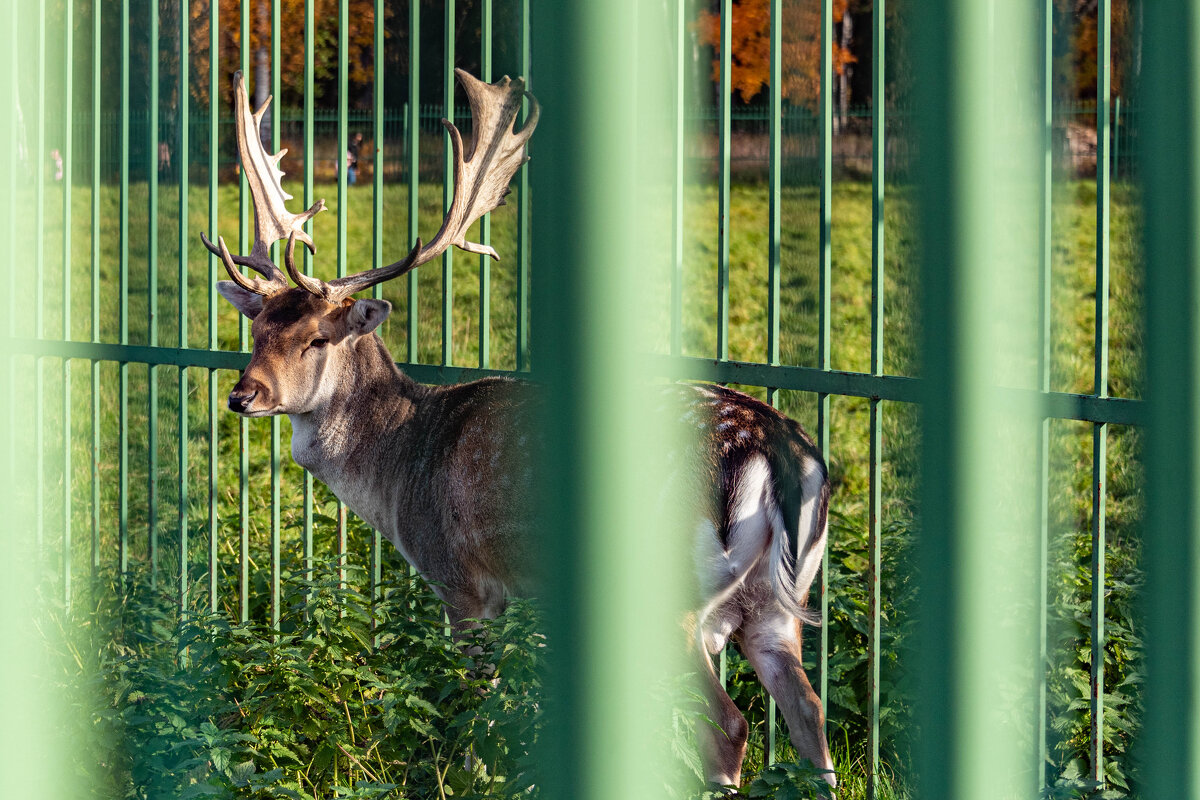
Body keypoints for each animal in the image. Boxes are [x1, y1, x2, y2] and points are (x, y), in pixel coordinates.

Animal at [201, 67, 835, 786]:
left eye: (315, 339)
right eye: (256, 328)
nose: (243, 395)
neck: (399, 472)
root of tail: (779, 452)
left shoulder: (462, 579)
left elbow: (476, 701)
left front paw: (471, 775)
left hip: (674, 594)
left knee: (728, 724)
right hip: (778, 603)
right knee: (808, 712)